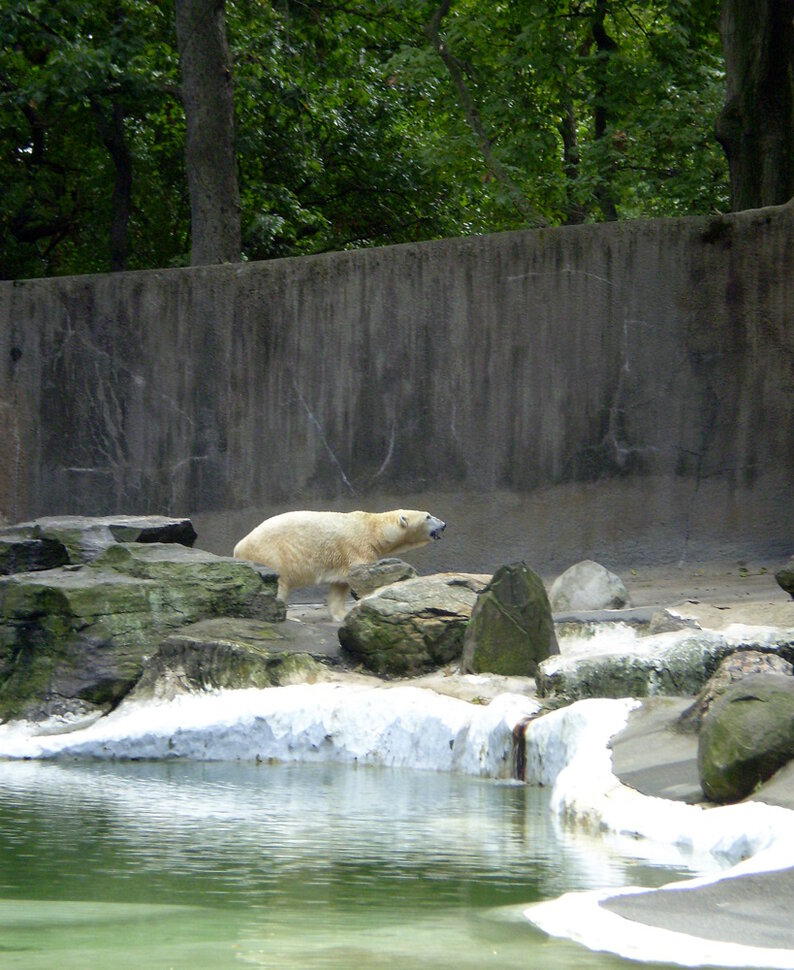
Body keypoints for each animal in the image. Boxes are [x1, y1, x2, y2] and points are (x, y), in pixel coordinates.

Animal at [234, 506, 446, 620]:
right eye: (428, 516)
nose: (444, 524)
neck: (372, 529)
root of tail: (238, 549)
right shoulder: (357, 548)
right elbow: (362, 578)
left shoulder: (343, 560)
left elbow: (339, 586)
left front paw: (341, 615)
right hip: (272, 555)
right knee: (279, 584)